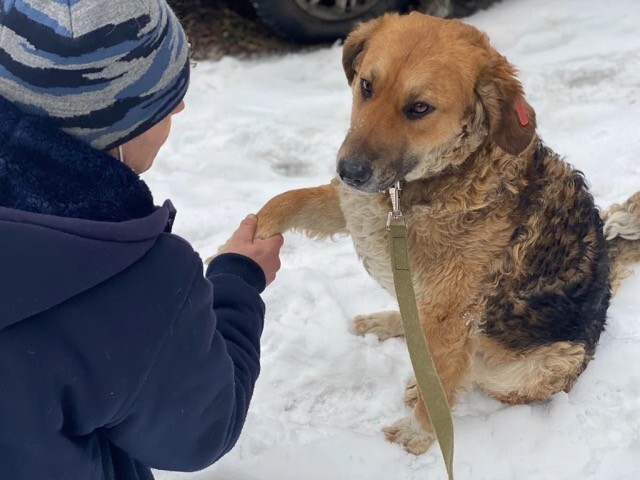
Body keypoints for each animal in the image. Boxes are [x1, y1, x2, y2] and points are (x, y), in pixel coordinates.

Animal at [245, 12, 640, 454]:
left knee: (473, 374)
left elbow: (441, 382)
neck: (419, 190)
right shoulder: (356, 208)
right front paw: (244, 242)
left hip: (533, 367)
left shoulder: (452, 315)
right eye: (366, 86)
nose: (349, 171)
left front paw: (415, 435)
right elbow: (288, 200)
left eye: (419, 108)